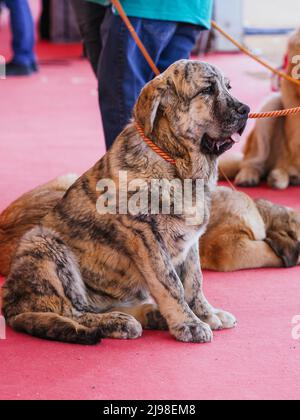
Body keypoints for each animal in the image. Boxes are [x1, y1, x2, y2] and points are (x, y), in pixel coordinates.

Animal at [0, 60, 248, 346]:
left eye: (228, 87)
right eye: (207, 90)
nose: (246, 110)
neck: (177, 165)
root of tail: (11, 306)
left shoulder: (190, 240)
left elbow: (194, 281)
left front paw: (206, 314)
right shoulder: (146, 236)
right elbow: (170, 283)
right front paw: (189, 324)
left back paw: (149, 314)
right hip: (43, 243)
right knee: (72, 310)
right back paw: (117, 322)